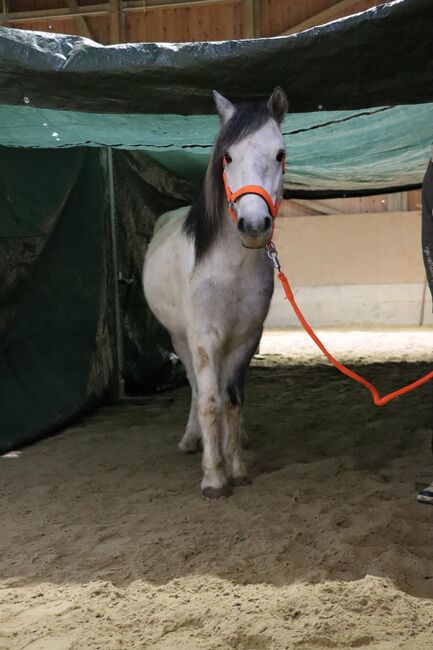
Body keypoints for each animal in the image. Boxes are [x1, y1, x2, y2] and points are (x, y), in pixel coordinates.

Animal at [143, 87, 288, 498]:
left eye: (280, 154)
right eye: (228, 156)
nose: (253, 225)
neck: (229, 268)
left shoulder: (246, 337)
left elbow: (233, 399)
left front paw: (235, 467)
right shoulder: (204, 336)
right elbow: (209, 401)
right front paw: (213, 477)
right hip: (180, 338)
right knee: (195, 387)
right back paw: (192, 440)